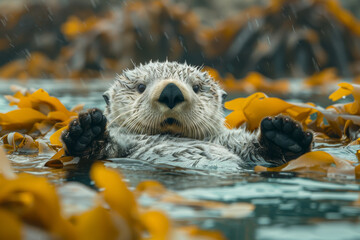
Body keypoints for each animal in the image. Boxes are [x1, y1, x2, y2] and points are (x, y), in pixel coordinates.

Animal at [61, 61, 312, 170]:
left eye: (197, 87)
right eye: (141, 87)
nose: (171, 91)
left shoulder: (228, 142)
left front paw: (285, 134)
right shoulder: (126, 143)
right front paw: (86, 131)